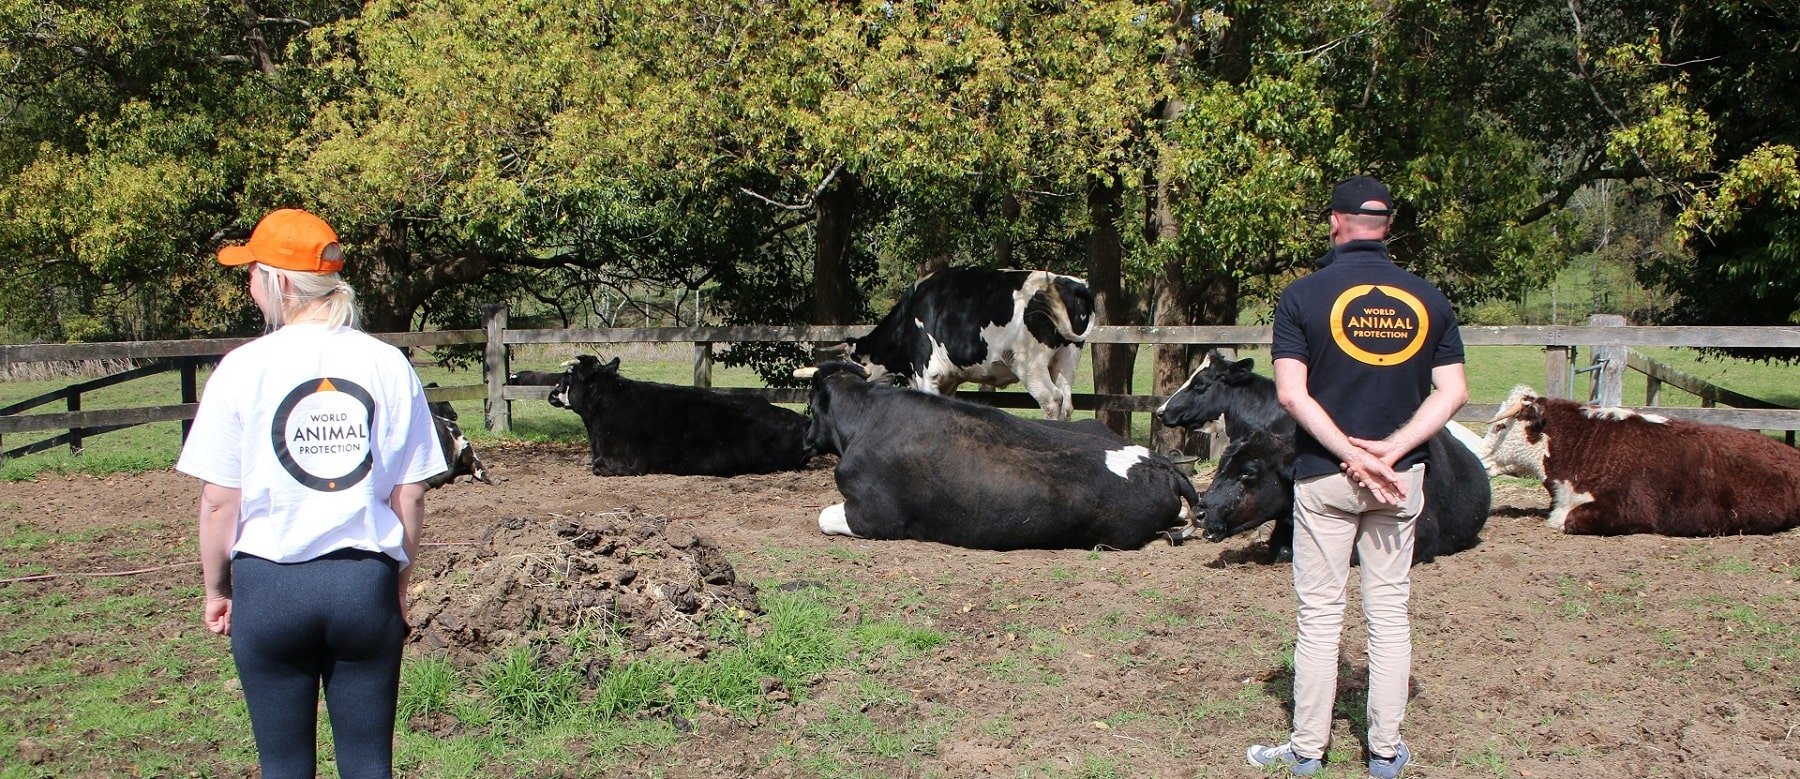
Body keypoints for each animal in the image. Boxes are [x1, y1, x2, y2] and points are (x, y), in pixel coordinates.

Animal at [799, 361, 1195, 550]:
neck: (867, 417)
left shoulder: (877, 516)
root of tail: (1161, 463)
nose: (805, 440)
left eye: (810, 407)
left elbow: (822, 517)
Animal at [846, 268, 1094, 424]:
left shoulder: (925, 373)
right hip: (1067, 360)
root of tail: (1069, 283)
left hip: (1029, 363)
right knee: (1067, 404)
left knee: (1052, 400)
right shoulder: (948, 379)